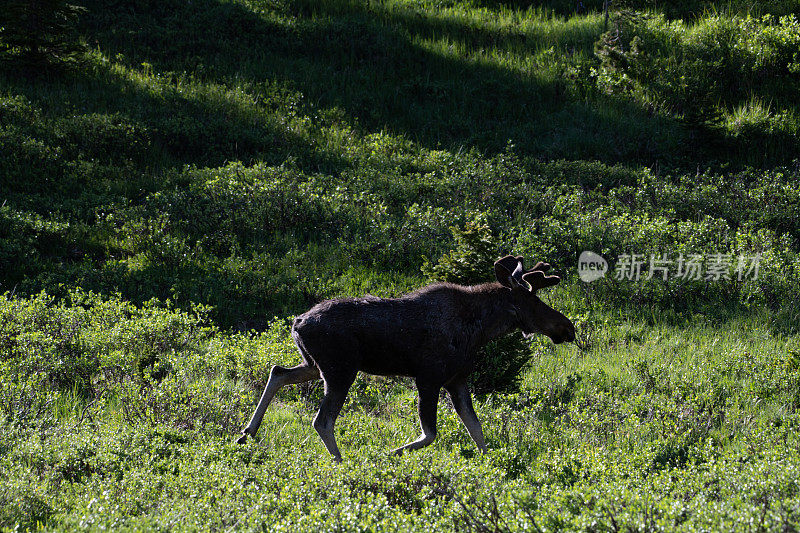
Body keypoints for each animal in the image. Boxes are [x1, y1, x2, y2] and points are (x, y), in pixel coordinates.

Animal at [234, 256, 572, 460]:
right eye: (533, 301)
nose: (567, 326)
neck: (480, 329)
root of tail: (296, 323)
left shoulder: (457, 380)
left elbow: (476, 430)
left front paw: (490, 465)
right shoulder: (428, 377)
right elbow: (430, 433)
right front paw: (387, 454)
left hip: (314, 365)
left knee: (278, 371)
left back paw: (246, 433)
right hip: (340, 370)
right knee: (322, 420)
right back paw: (341, 463)